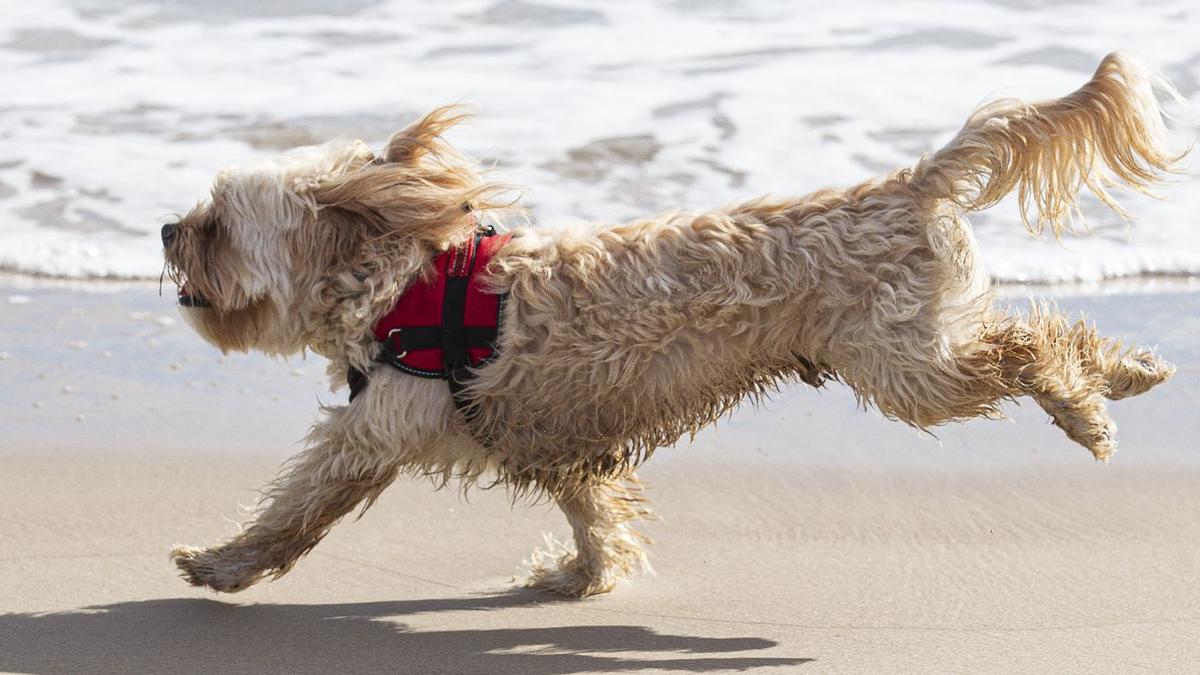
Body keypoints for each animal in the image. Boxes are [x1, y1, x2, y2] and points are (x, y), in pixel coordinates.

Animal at [166, 53, 1180, 598]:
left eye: (216, 223)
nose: (167, 230)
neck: (405, 278)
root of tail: (904, 185)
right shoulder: (556, 439)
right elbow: (593, 514)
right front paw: (582, 576)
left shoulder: (376, 427)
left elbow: (296, 508)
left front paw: (220, 564)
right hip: (919, 351)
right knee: (1036, 340)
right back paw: (1130, 370)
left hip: (908, 369)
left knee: (1027, 347)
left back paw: (1086, 408)